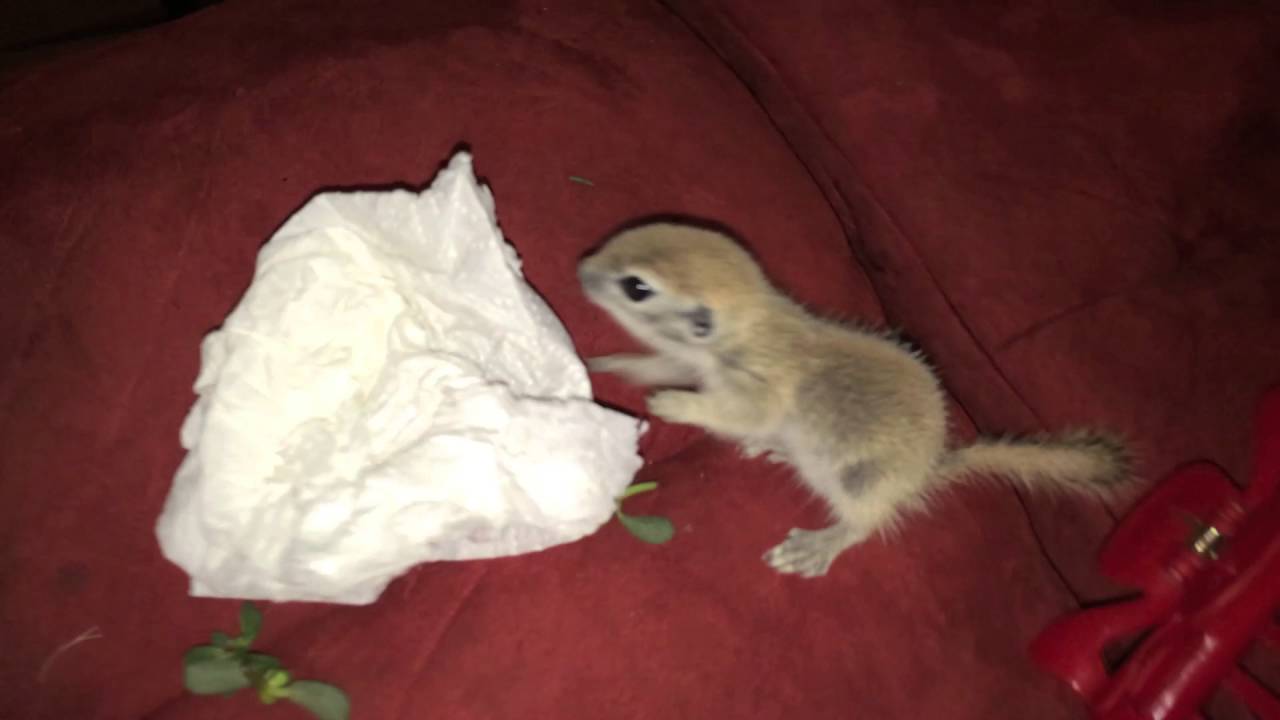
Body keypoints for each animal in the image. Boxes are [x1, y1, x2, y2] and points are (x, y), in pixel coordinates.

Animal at [578, 220, 1132, 578]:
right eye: (630, 236)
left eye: (637, 287)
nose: (582, 267)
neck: (751, 321)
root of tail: (929, 471)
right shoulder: (692, 362)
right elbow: (655, 364)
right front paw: (600, 364)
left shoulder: (758, 383)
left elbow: (742, 411)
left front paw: (671, 404)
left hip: (862, 484)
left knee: (865, 525)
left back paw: (820, 545)